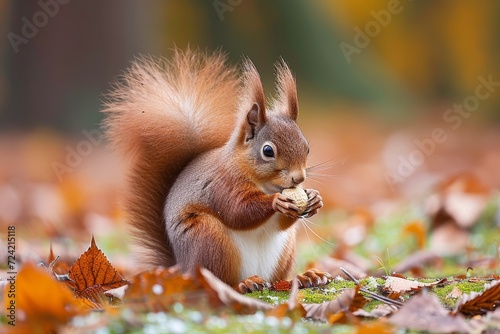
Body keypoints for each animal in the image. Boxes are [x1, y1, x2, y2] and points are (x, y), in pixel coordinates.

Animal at [104, 48, 332, 290]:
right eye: (268, 151)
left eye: (307, 147)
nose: (299, 178)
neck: (265, 185)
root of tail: (182, 270)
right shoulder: (221, 184)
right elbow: (238, 210)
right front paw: (276, 202)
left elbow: (281, 223)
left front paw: (314, 198)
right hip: (209, 240)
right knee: (219, 281)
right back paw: (244, 284)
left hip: (283, 251)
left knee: (278, 280)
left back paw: (304, 277)